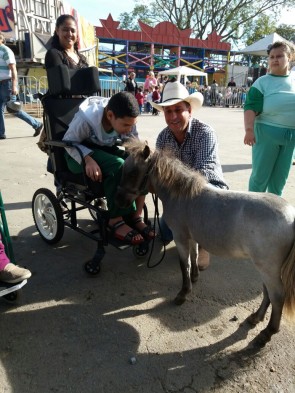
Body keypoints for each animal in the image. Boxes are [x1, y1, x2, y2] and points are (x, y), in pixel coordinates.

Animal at [116, 139, 295, 344]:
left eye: (132, 172)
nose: (119, 200)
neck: (182, 196)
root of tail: (291, 217)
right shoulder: (192, 237)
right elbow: (194, 257)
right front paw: (195, 277)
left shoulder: (180, 237)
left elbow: (184, 264)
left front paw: (183, 294)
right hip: (264, 268)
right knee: (268, 293)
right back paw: (255, 318)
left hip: (268, 269)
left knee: (277, 296)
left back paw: (267, 333)